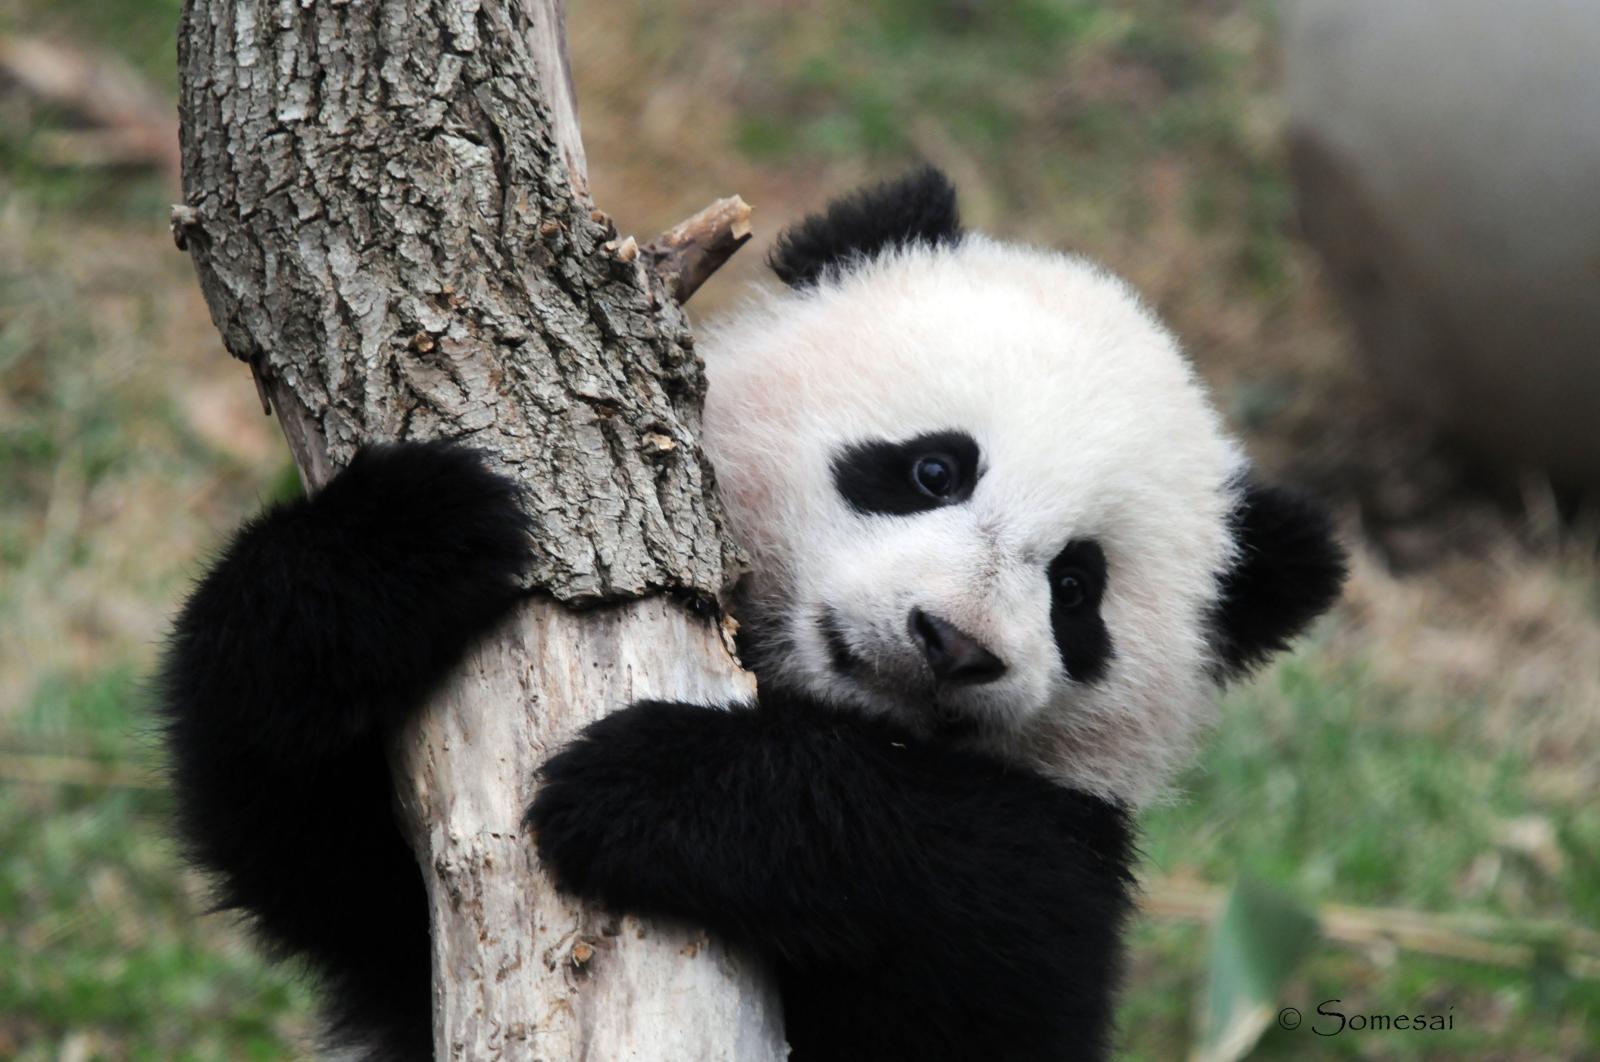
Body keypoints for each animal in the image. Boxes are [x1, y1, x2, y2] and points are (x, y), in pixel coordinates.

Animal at [160, 168, 1345, 1061]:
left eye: (1075, 590)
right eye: (933, 468)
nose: (949, 642)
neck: (814, 700)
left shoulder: (1066, 860)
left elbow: (981, 913)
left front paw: (654, 787)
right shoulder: (385, 913)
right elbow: (315, 855)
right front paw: (411, 537)